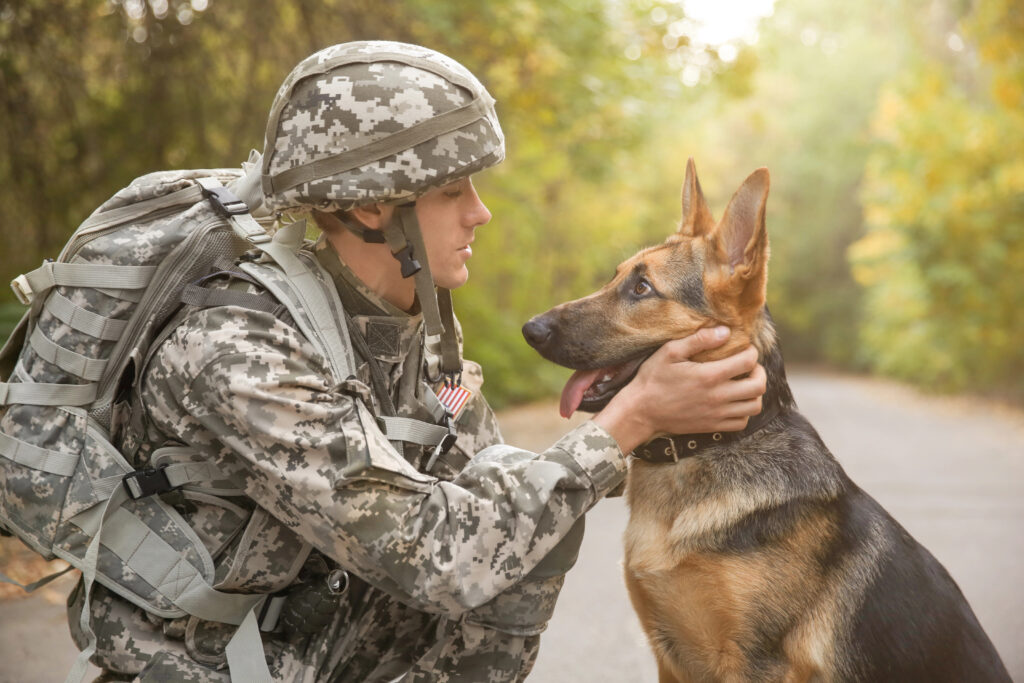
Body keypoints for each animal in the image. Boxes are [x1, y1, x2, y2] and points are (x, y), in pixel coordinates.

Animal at [520, 161, 1007, 683]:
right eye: (616, 278)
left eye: (642, 288)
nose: (530, 330)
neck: (709, 444)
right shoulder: (668, 659)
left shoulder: (755, 664)